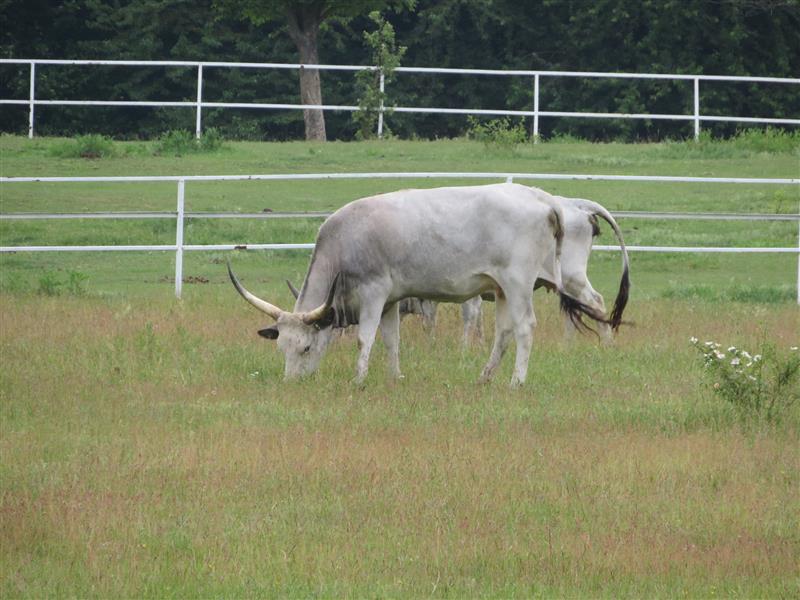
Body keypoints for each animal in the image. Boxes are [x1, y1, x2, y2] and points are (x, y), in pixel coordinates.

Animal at [402, 193, 631, 346]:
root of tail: (576, 205)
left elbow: (465, 316)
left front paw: (462, 347)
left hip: (572, 277)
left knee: (595, 302)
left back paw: (606, 344)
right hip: (563, 284)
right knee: (572, 312)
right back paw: (566, 346)